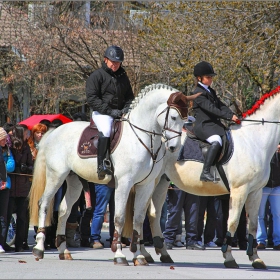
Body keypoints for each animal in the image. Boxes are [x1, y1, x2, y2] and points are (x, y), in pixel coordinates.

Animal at [29, 82, 197, 264]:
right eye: (173, 117)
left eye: (184, 119)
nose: (173, 148)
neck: (142, 137)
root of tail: (54, 132)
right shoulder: (124, 183)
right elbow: (119, 218)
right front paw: (120, 255)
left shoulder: (146, 185)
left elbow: (138, 218)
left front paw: (138, 256)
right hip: (56, 176)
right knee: (44, 204)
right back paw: (39, 248)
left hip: (74, 181)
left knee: (63, 211)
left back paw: (63, 251)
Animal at [129, 86, 280, 270]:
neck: (254, 140)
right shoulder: (240, 191)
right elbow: (233, 222)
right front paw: (229, 257)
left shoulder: (256, 191)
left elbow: (252, 225)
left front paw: (256, 259)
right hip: (151, 181)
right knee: (143, 214)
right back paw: (143, 254)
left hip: (161, 182)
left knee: (151, 214)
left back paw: (156, 254)